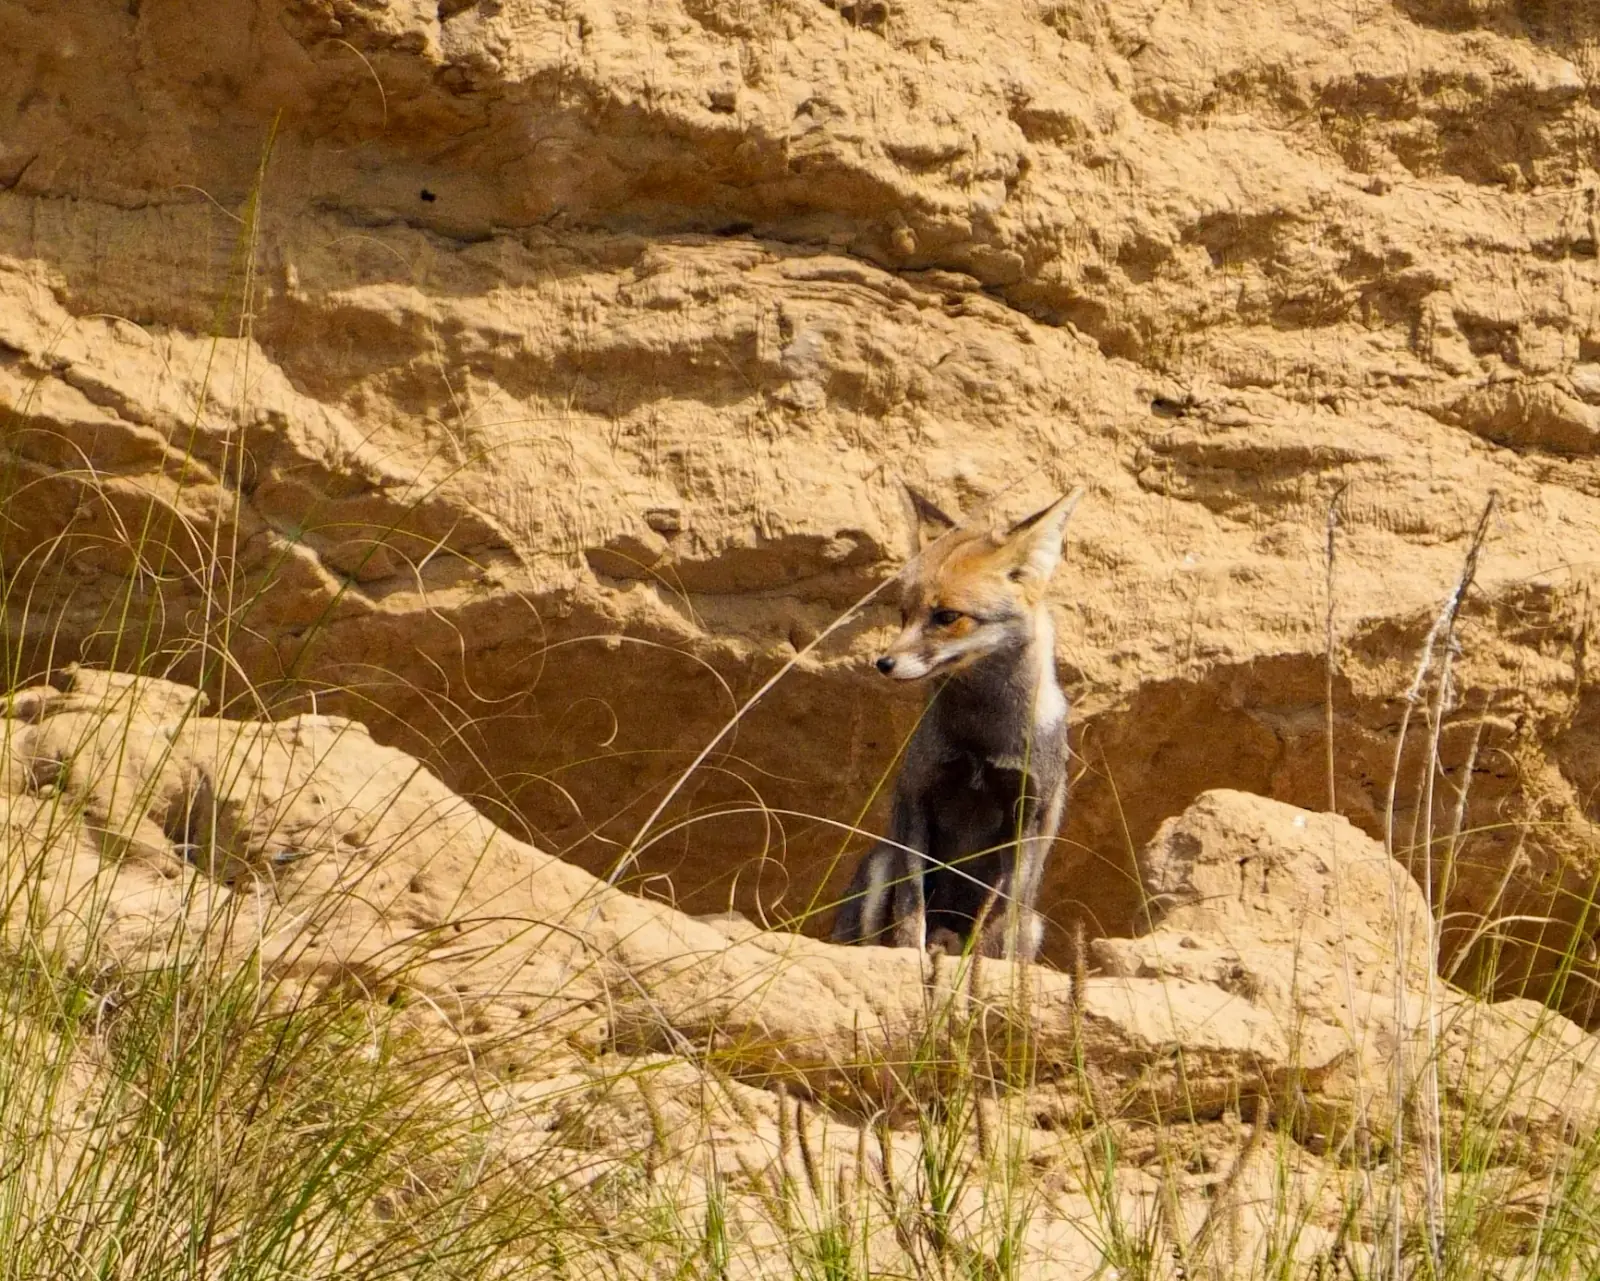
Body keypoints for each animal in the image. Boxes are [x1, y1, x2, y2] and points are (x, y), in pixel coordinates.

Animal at [830, 487, 1082, 963]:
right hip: (879, 865)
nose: (883, 664)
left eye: (947, 617)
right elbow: (911, 910)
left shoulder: (1028, 819)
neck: (982, 739)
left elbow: (996, 923)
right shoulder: (916, 799)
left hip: (1034, 923)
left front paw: (986, 970)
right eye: (903, 614)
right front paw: (910, 956)